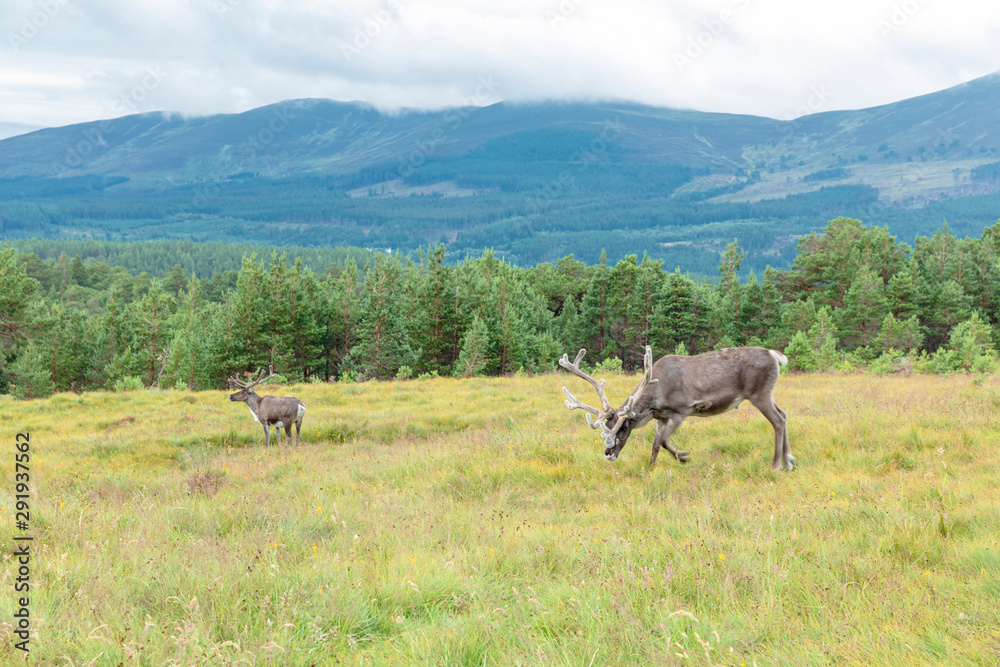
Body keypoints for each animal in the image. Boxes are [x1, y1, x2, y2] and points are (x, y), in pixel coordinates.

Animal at [559, 346, 794, 470]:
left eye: (624, 427)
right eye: (606, 426)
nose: (608, 454)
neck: (654, 397)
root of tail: (775, 355)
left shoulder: (681, 411)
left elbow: (663, 442)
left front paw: (683, 456)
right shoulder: (661, 417)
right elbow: (655, 446)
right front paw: (649, 470)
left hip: (759, 394)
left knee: (778, 421)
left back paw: (776, 464)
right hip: (767, 394)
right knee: (783, 414)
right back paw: (789, 460)